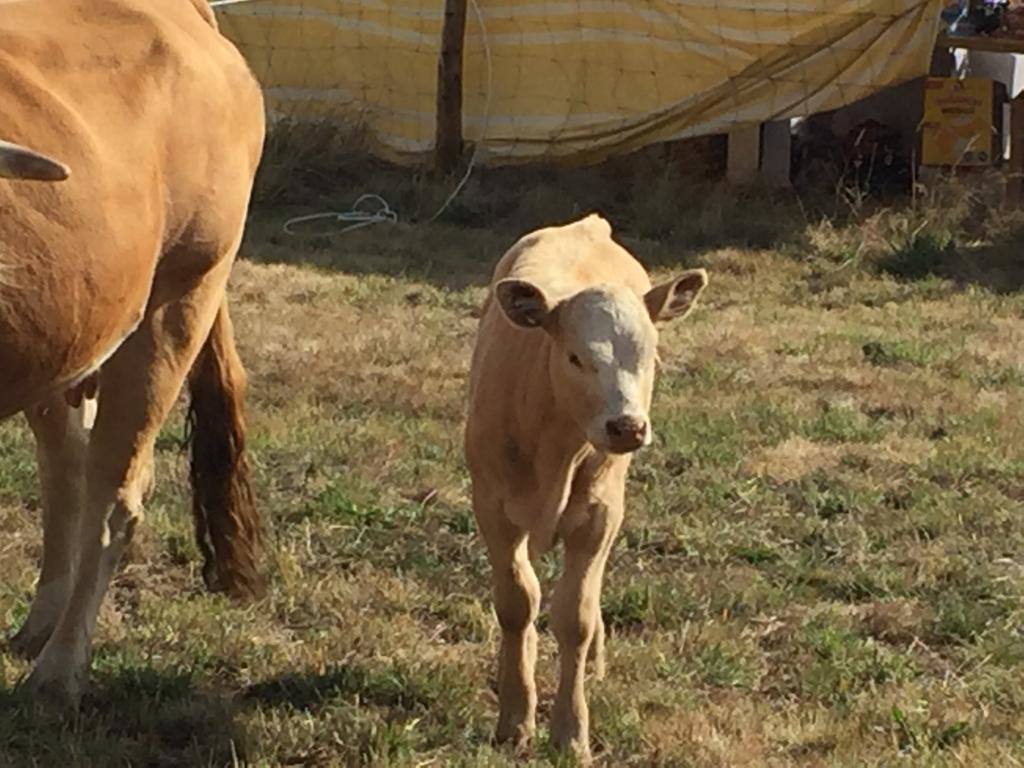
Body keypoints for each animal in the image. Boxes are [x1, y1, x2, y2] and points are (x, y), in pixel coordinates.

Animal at [462, 214, 704, 761]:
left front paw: (571, 731)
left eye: (651, 355)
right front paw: (515, 717)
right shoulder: (493, 508)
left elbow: (575, 616)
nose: (627, 427)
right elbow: (517, 603)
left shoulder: (599, 517)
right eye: (575, 357)